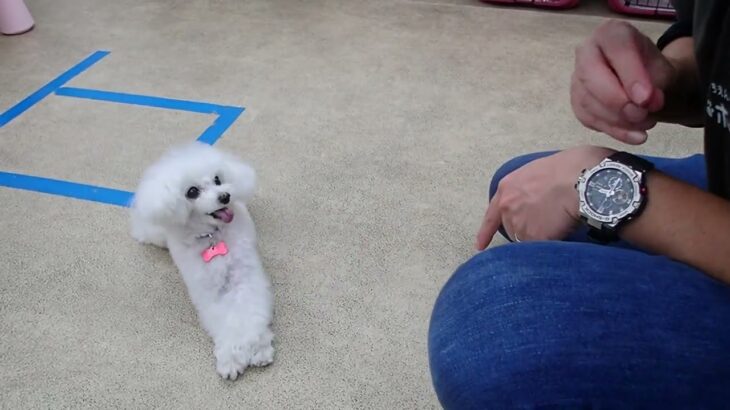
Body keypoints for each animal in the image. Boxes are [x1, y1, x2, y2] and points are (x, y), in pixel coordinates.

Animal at [128, 143, 272, 380]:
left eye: (217, 179)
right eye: (192, 192)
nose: (225, 196)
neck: (213, 235)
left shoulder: (245, 277)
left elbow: (250, 310)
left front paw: (258, 346)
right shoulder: (209, 291)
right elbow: (227, 321)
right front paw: (231, 357)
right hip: (155, 232)